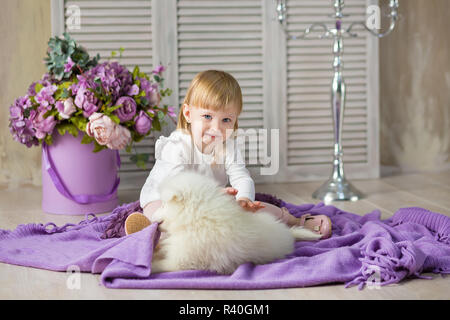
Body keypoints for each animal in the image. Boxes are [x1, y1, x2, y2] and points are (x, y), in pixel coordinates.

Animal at [149, 171, 314, 274]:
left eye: (163, 204)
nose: (150, 219)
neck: (196, 218)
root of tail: (286, 231)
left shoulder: (182, 261)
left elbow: (159, 264)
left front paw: (148, 264)